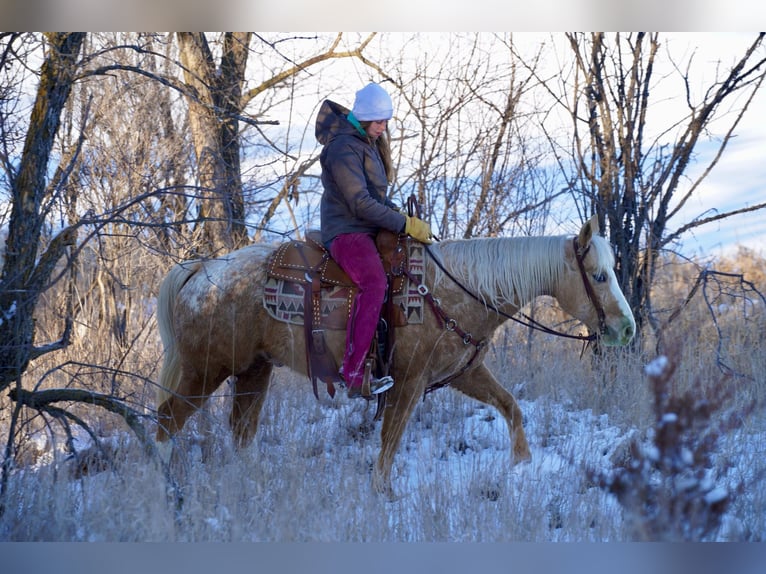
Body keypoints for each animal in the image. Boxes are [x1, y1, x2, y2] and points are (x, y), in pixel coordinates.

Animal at [154, 216, 636, 496]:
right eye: (598, 275)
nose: (627, 328)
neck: (451, 291)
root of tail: (201, 269)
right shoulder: (407, 382)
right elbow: (389, 443)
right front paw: (383, 495)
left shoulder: (465, 372)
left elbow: (510, 406)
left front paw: (522, 464)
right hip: (204, 370)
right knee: (165, 424)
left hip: (254, 370)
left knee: (240, 432)